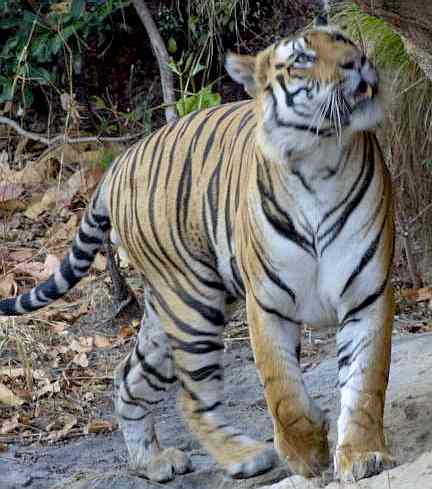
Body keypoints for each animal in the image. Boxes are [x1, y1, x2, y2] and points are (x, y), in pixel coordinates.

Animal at [1, 16, 396, 484]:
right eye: (303, 57)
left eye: (344, 40)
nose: (359, 61)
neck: (321, 160)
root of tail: (119, 162)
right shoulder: (267, 303)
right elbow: (282, 388)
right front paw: (306, 452)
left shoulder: (367, 293)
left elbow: (364, 383)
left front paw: (363, 455)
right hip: (192, 307)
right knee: (190, 399)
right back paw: (244, 455)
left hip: (169, 312)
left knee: (126, 376)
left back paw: (153, 462)